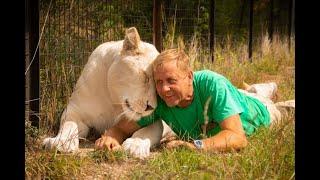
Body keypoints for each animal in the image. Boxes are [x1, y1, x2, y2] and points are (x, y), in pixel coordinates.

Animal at [43, 27, 172, 159]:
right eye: (146, 77)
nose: (150, 107)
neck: (114, 101)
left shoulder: (155, 120)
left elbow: (145, 132)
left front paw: (135, 145)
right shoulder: (75, 110)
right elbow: (69, 124)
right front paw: (61, 143)